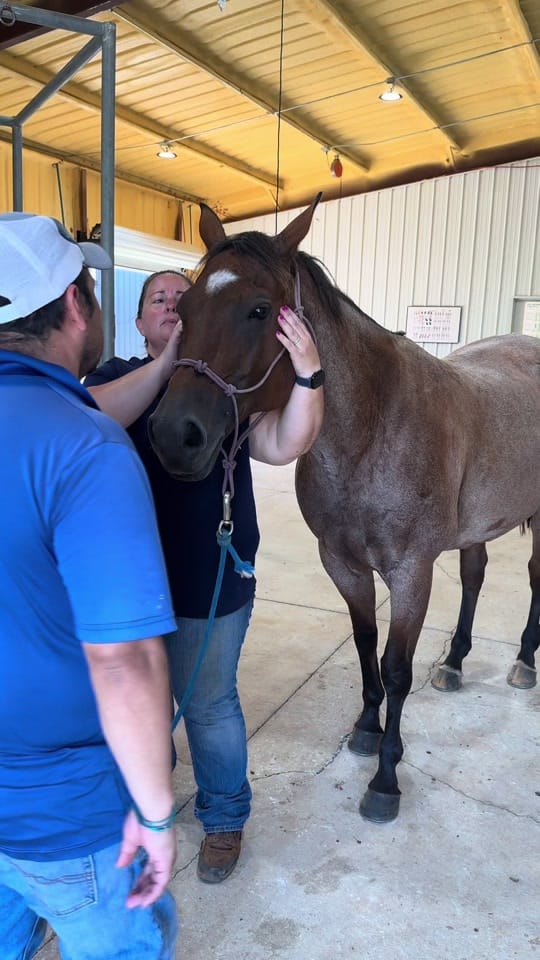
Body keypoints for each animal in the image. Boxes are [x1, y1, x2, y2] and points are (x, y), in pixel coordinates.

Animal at [148, 195, 540, 823]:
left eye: (260, 310)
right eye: (182, 306)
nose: (173, 435)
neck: (373, 427)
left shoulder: (410, 572)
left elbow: (397, 668)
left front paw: (386, 778)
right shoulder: (343, 563)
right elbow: (364, 645)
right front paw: (364, 727)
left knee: (532, 576)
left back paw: (525, 658)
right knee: (476, 576)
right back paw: (455, 662)